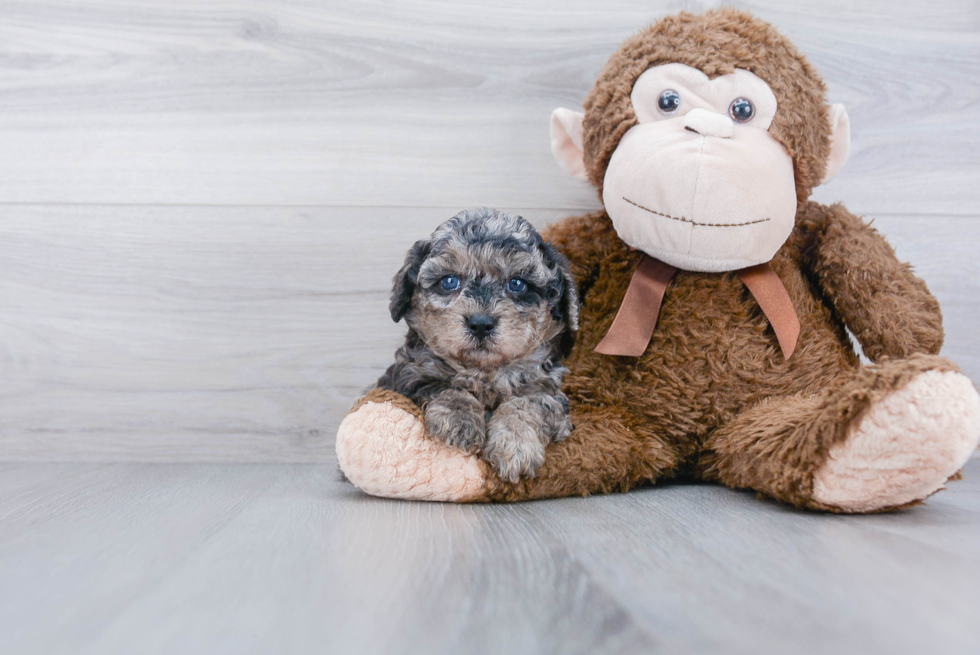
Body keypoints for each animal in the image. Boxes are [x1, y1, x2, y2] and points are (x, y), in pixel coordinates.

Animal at [374, 208, 576, 484]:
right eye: (449, 281)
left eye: (517, 284)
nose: (481, 323)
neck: (484, 372)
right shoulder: (411, 376)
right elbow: (447, 387)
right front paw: (459, 422)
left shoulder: (549, 390)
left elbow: (527, 404)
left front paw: (515, 446)